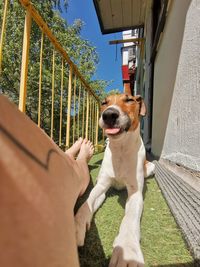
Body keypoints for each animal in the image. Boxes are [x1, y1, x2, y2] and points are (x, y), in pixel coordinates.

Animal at [75, 94, 155, 267]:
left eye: (129, 100)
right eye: (104, 102)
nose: (109, 114)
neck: (121, 150)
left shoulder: (135, 192)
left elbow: (130, 217)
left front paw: (128, 251)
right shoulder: (102, 186)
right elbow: (87, 203)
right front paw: (77, 224)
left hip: (151, 166)